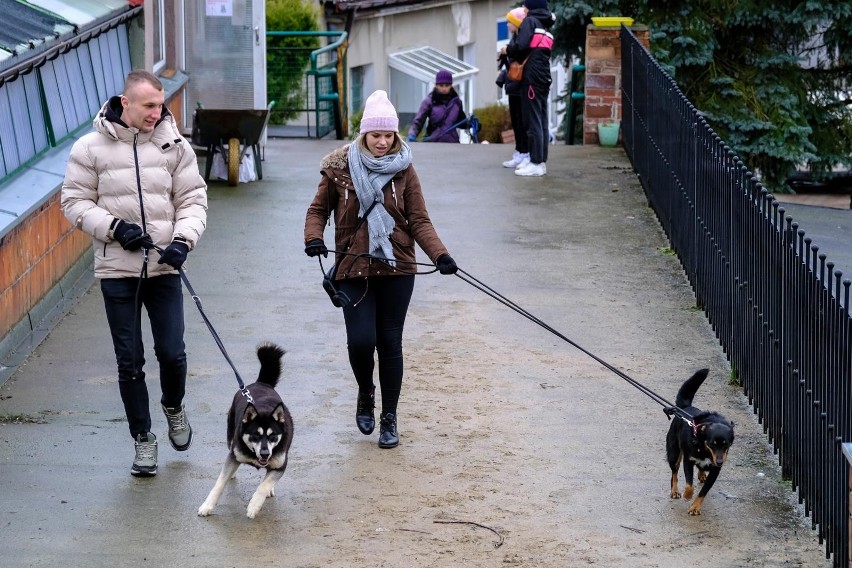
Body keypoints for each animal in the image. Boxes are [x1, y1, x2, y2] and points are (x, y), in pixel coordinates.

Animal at [199, 342, 292, 520]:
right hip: (230, 436)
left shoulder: (280, 464)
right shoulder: (234, 455)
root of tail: (261, 383)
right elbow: (219, 483)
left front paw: (254, 506)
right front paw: (207, 505)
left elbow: (264, 485)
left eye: (273, 436)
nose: (265, 454)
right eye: (256, 435)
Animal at [664, 368, 732, 516]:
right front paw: (687, 495)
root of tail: (684, 409)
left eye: (727, 444)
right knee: (674, 473)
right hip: (674, 454)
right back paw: (675, 491)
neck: (705, 450)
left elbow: (703, 492)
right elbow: (689, 485)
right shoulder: (688, 461)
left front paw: (695, 507)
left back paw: (701, 474)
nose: (720, 461)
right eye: (712, 444)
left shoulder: (715, 471)